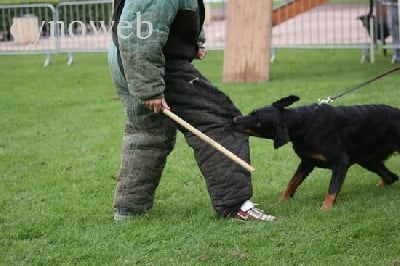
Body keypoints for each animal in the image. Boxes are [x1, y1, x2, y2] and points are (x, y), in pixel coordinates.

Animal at [233, 95, 398, 210]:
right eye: (252, 112)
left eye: (259, 123)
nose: (235, 120)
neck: (304, 124)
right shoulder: (307, 162)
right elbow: (292, 182)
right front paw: (281, 202)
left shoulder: (340, 162)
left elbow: (332, 189)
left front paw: (325, 209)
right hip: (368, 160)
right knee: (392, 177)